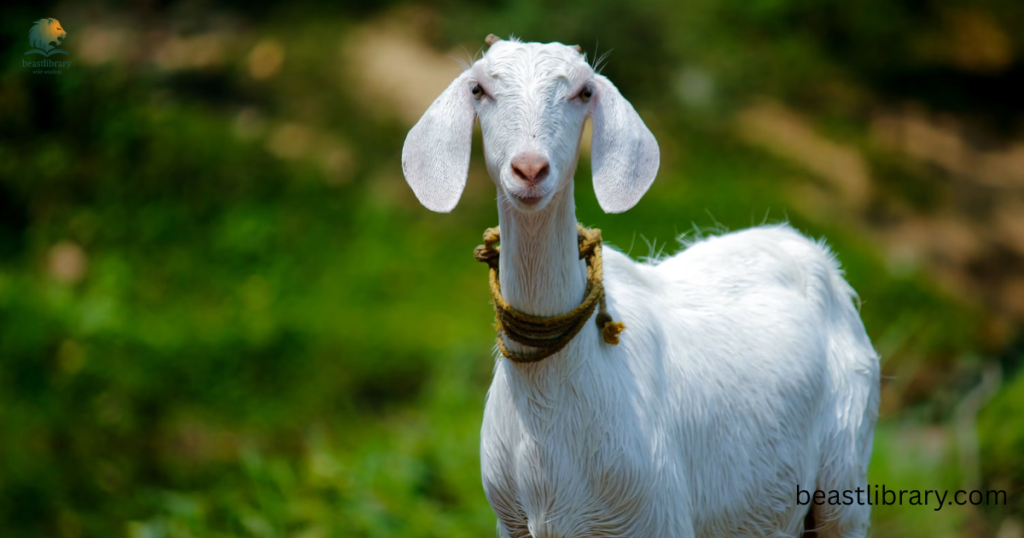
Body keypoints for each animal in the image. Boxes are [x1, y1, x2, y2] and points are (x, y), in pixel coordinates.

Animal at [401, 35, 880, 538]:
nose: (530, 170)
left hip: (846, 476)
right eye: (478, 88)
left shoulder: (658, 516)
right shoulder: (511, 522)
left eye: (584, 92)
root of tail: (813, 252)